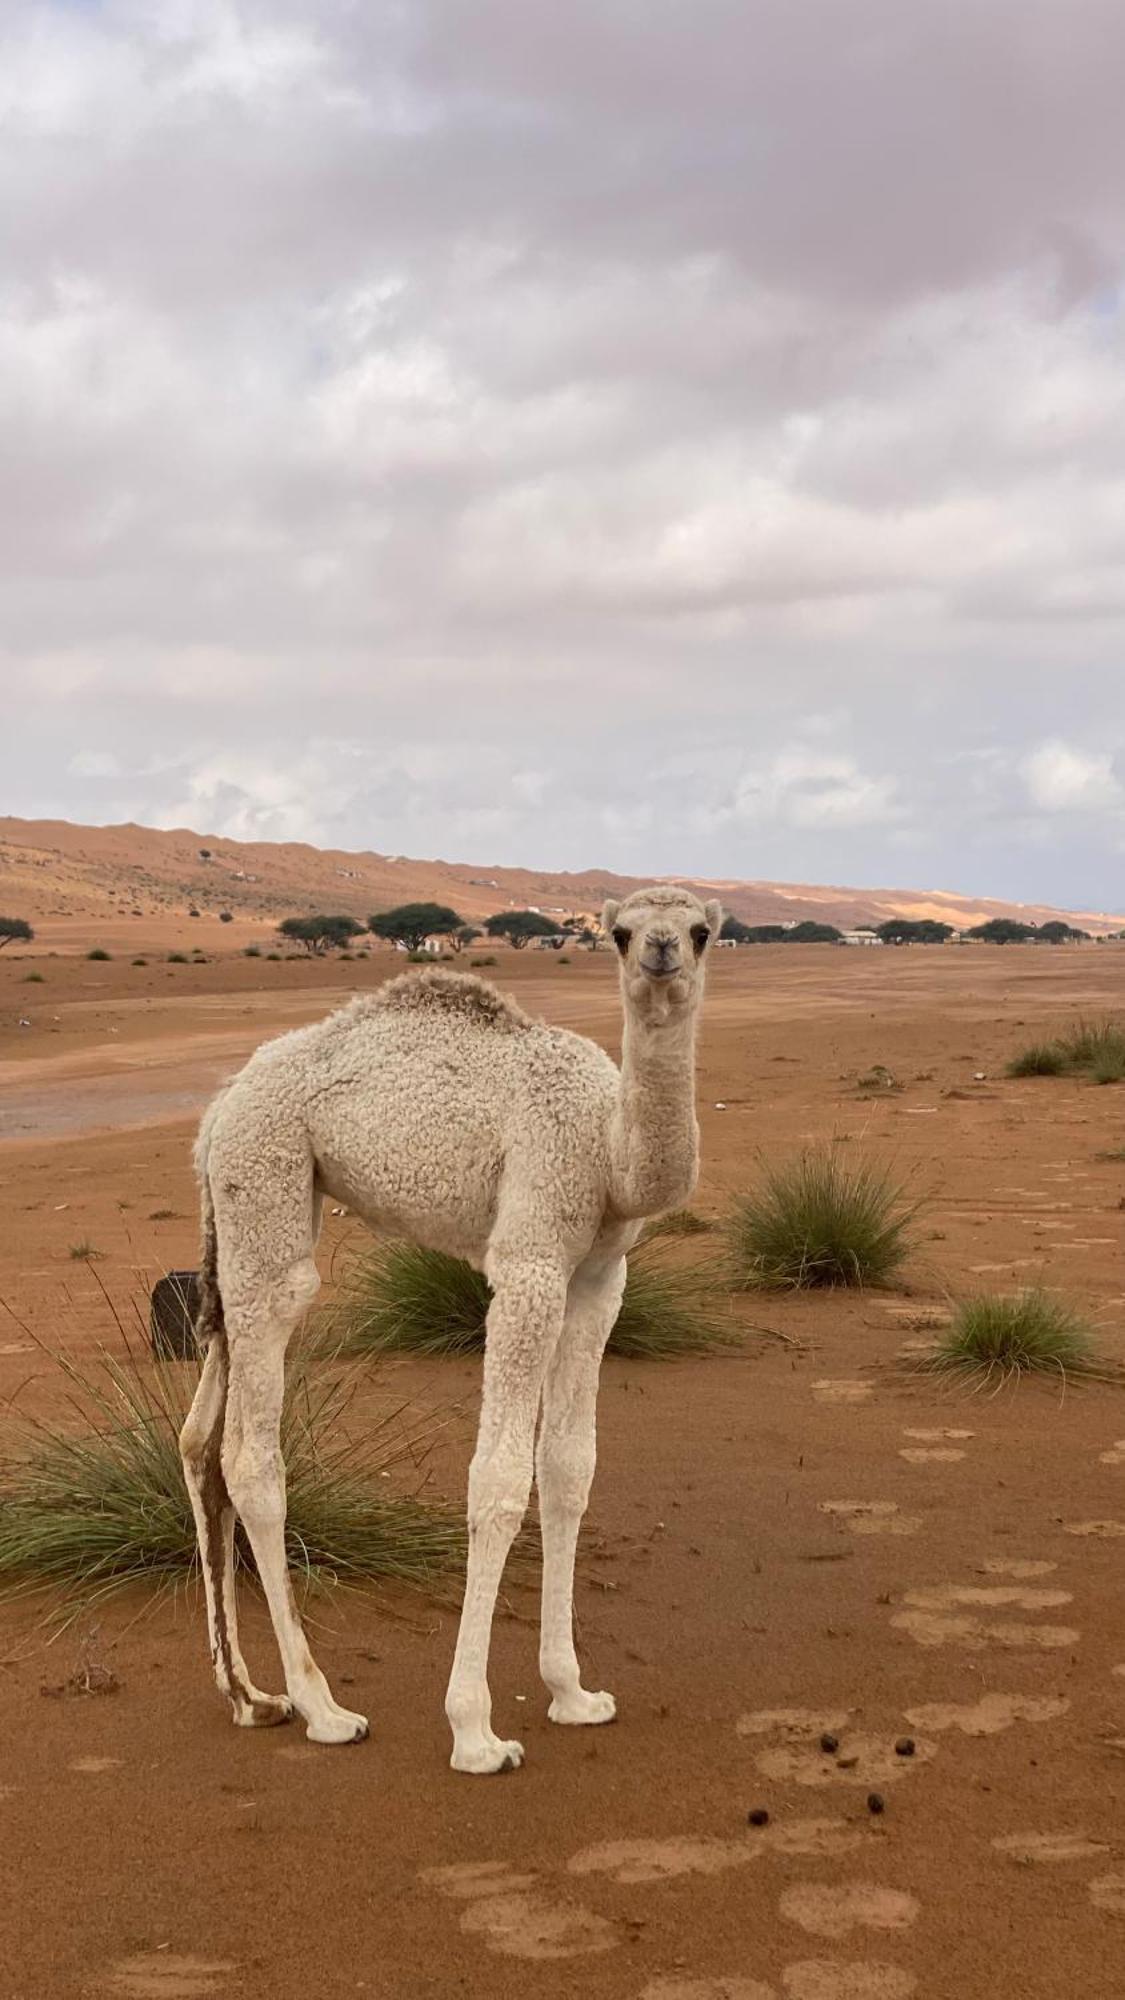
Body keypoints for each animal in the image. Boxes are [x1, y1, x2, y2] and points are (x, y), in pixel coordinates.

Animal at [177, 884, 716, 1776]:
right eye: (620, 932)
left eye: (702, 929)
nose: (662, 951)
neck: (607, 1150)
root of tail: (220, 1105)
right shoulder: (528, 1262)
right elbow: (496, 1482)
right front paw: (474, 1730)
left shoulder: (599, 1278)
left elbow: (568, 1469)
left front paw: (574, 1693)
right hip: (267, 1188)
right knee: (251, 1454)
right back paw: (324, 1708)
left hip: (240, 1225)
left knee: (195, 1436)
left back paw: (251, 1698)